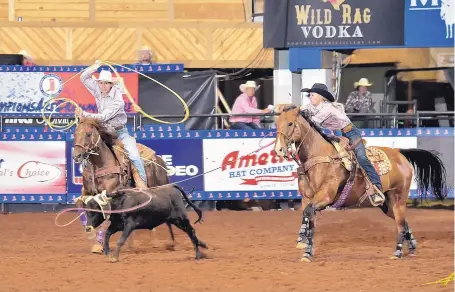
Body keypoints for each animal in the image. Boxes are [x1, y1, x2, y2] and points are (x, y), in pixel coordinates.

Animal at [72, 117, 172, 252]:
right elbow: (81, 205)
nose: (76, 156)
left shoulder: (110, 195)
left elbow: (106, 215)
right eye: (75, 134)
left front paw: (100, 241)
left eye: (88, 134)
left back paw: (167, 242)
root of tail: (159, 159)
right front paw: (92, 235)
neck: (100, 164)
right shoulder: (87, 193)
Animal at [272, 105, 448, 262]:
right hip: (387, 204)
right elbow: (309, 218)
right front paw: (306, 252)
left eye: (290, 123)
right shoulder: (308, 199)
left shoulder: (325, 196)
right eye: (277, 124)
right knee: (404, 222)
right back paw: (411, 247)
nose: (279, 149)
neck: (320, 157)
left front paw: (302, 240)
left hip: (399, 198)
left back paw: (397, 253)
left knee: (400, 224)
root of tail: (399, 152)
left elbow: (308, 213)